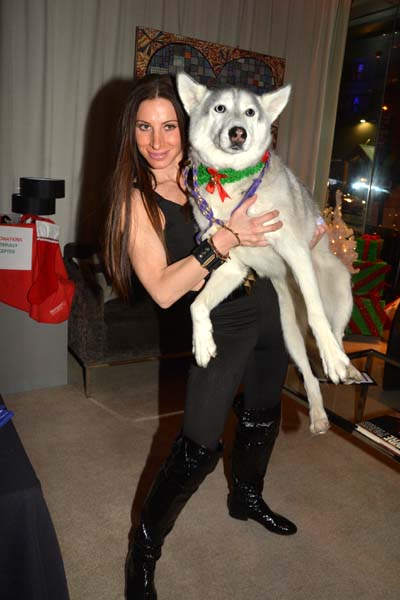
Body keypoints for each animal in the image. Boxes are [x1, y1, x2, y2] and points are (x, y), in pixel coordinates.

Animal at [177, 72, 360, 434]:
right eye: (220, 108)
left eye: (250, 112)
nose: (238, 133)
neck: (230, 181)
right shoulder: (230, 265)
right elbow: (196, 305)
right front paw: (203, 342)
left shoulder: (295, 250)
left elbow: (317, 315)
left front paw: (334, 359)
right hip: (289, 334)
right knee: (308, 374)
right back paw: (318, 415)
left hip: (340, 289)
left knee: (335, 331)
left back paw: (343, 364)